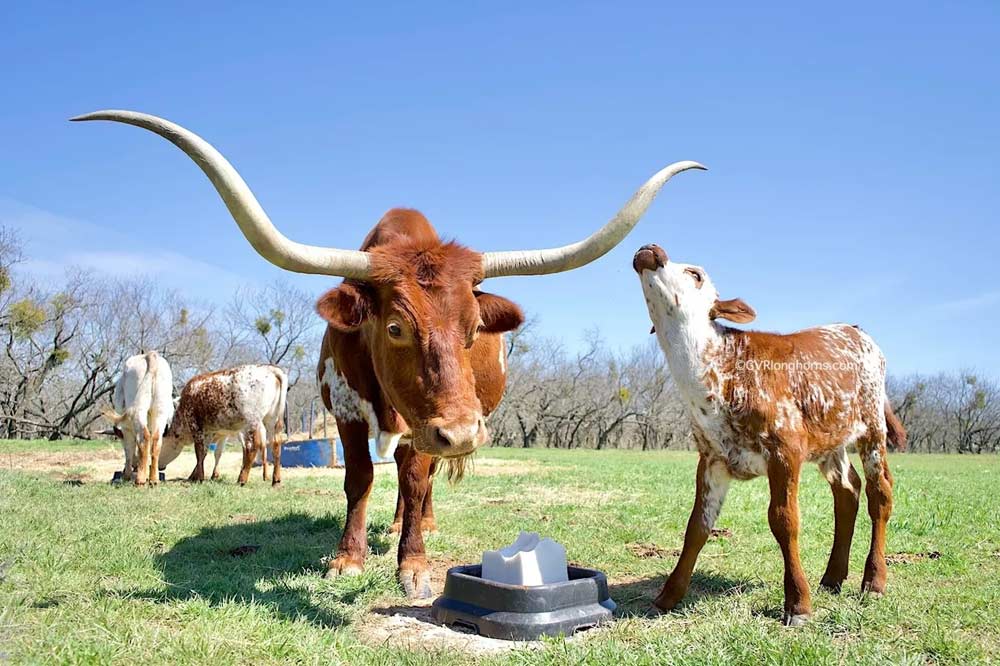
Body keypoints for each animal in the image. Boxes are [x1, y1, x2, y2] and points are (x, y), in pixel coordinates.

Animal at [104, 350, 175, 486]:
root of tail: (150, 355)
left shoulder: (126, 429)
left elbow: (129, 449)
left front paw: (126, 475)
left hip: (139, 410)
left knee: (144, 437)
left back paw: (141, 480)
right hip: (160, 411)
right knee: (156, 440)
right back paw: (154, 479)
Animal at [158, 364, 288, 482]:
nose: (159, 466)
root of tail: (270, 368)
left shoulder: (196, 425)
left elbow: (199, 451)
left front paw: (198, 477)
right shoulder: (211, 432)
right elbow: (206, 452)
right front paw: (196, 476)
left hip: (252, 421)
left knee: (253, 447)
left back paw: (242, 479)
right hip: (271, 420)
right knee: (275, 444)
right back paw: (275, 480)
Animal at [632, 243, 908, 624]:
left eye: (695, 274)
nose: (651, 248)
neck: (722, 369)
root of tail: (856, 330)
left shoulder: (785, 449)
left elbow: (783, 520)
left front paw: (798, 603)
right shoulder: (713, 457)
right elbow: (697, 527)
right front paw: (668, 596)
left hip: (871, 427)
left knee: (879, 493)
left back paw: (874, 580)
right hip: (829, 439)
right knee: (847, 490)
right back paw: (832, 577)